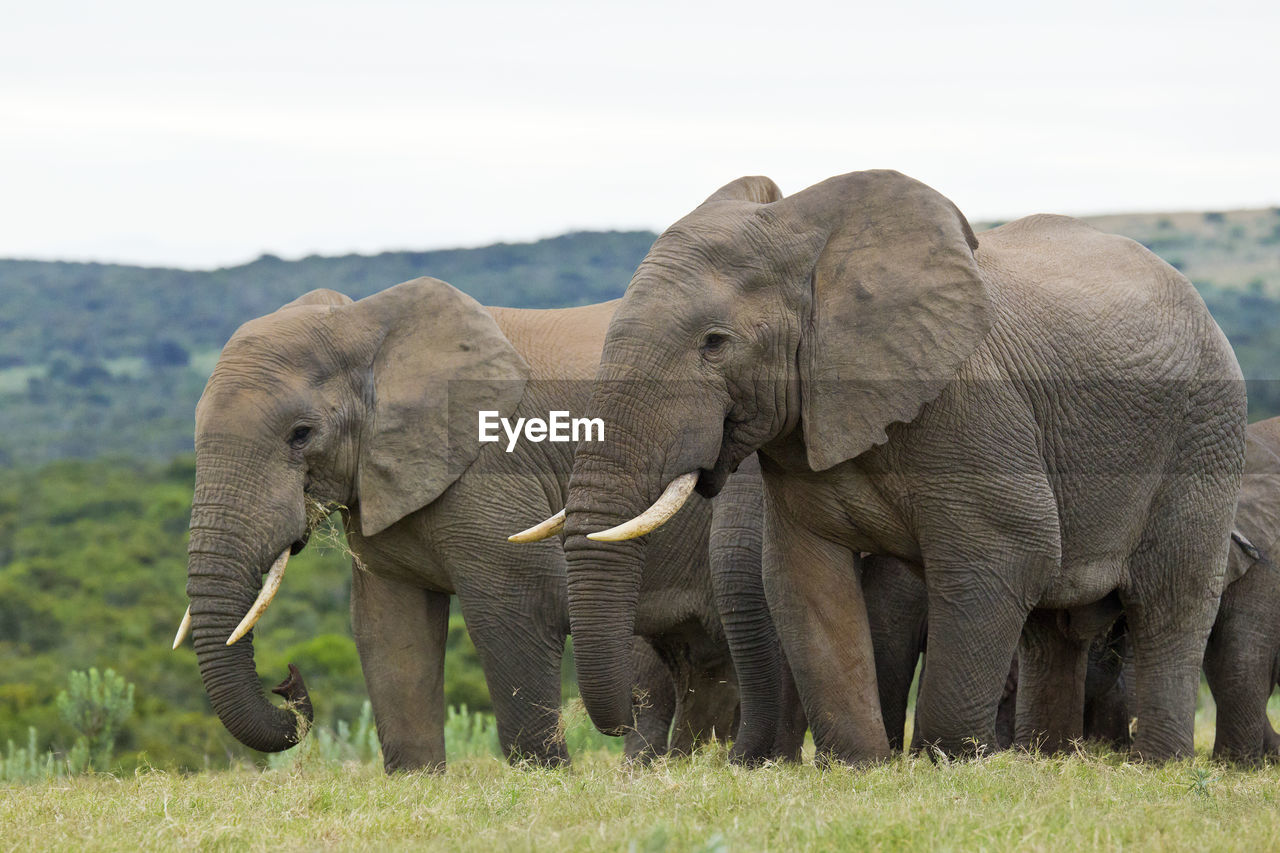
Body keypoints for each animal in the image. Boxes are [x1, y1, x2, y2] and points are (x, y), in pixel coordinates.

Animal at [179, 279, 757, 768]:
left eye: (300, 435)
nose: (288, 680)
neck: (368, 326)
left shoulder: (495, 466)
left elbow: (518, 607)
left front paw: (544, 783)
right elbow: (391, 631)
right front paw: (417, 784)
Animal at [522, 167, 1249, 763]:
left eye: (715, 343)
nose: (621, 725)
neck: (814, 245)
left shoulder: (971, 404)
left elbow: (1011, 548)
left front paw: (946, 762)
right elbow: (804, 577)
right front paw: (859, 767)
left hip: (1205, 429)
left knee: (1172, 598)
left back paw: (1155, 764)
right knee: (1052, 630)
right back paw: (1046, 759)